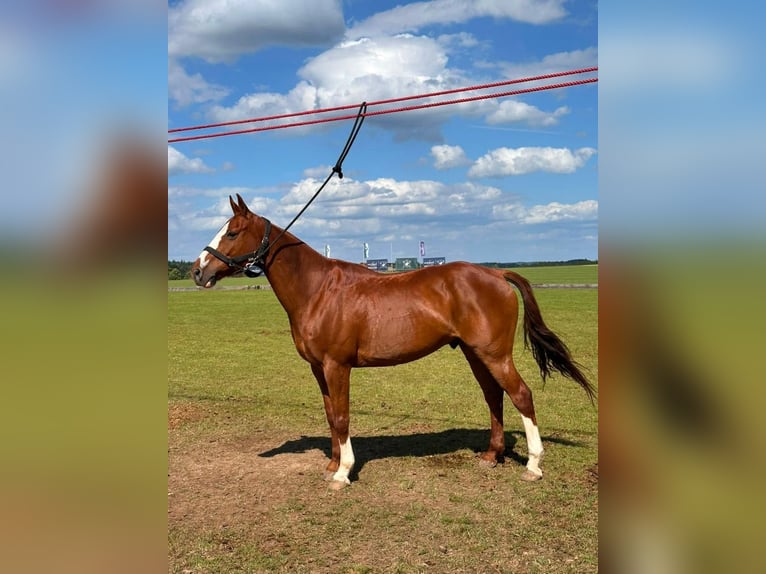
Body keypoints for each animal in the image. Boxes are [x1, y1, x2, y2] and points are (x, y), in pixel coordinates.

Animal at [191, 194, 595, 489]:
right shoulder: (319, 369)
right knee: (494, 396)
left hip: (494, 354)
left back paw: (533, 465)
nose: (198, 271)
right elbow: (330, 415)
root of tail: (495, 274)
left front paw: (343, 473)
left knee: (521, 395)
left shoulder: (337, 366)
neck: (318, 290)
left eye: (232, 232)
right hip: (475, 354)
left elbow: (342, 416)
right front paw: (332, 464)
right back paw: (491, 457)